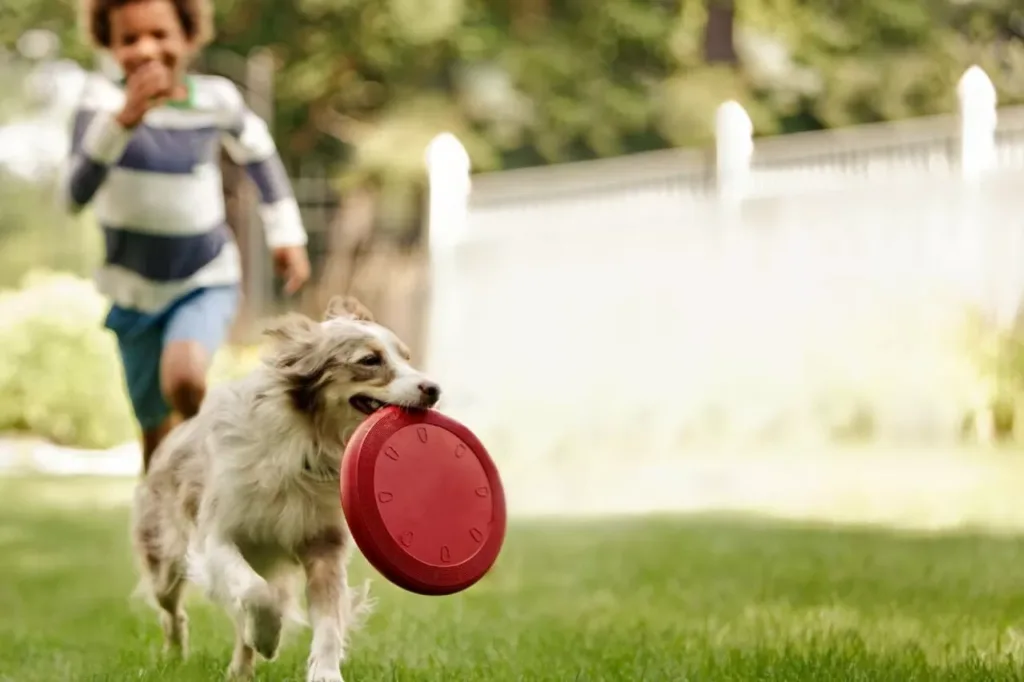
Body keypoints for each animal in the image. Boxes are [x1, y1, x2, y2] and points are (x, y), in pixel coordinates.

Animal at [131, 294, 440, 675]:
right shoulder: (217, 537)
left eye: (406, 357)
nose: (434, 389)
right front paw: (267, 637)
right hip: (166, 558)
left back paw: (241, 669)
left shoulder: (324, 545)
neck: (308, 444)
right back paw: (177, 654)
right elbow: (256, 592)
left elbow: (327, 622)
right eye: (370, 360)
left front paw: (325, 673)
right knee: (173, 610)